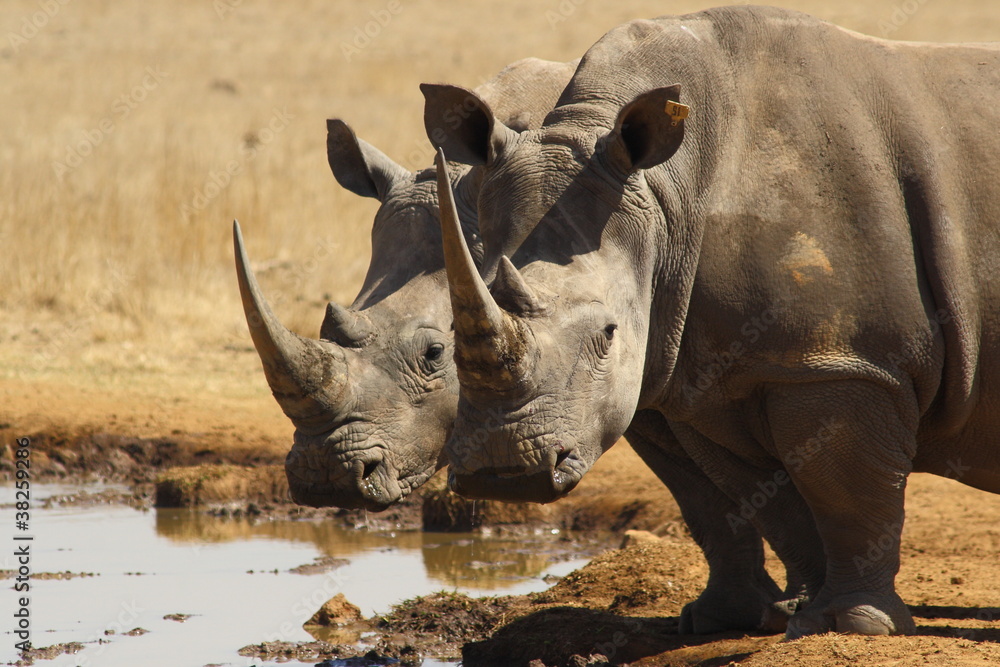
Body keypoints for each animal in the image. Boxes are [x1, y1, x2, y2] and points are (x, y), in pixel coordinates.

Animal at [423, 5, 1000, 638]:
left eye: (607, 336)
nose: (503, 474)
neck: (667, 195)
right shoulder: (701, 373)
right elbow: (737, 501)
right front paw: (749, 618)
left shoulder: (840, 360)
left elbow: (845, 490)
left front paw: (848, 625)